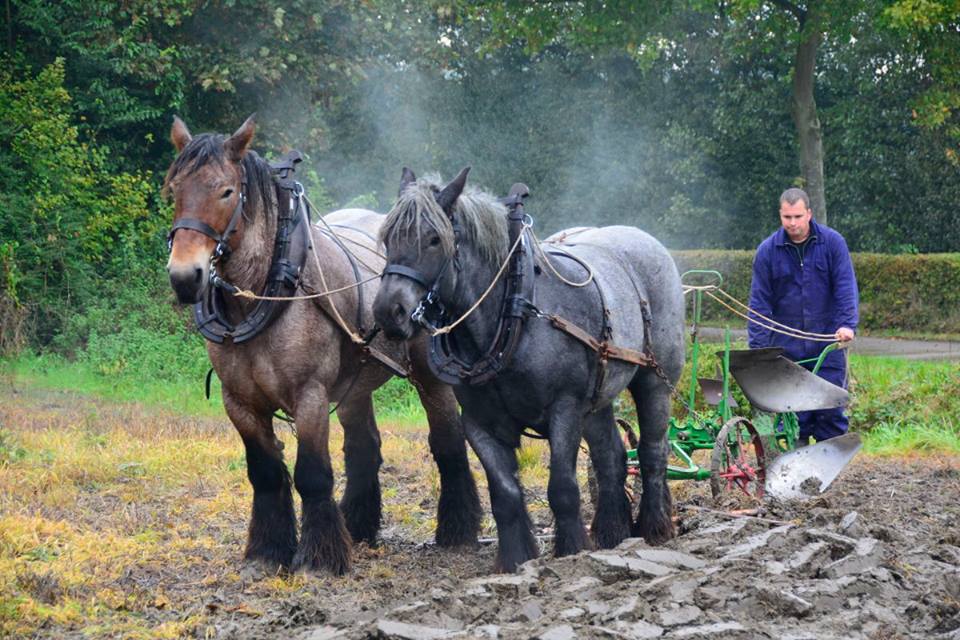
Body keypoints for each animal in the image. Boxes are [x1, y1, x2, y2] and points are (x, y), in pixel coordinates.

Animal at [163, 117, 481, 575]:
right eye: (174, 190)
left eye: (225, 191)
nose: (185, 277)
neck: (265, 294)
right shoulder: (239, 402)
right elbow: (265, 473)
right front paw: (267, 551)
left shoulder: (309, 395)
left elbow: (312, 474)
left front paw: (319, 559)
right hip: (354, 385)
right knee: (363, 448)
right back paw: (358, 526)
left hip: (427, 375)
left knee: (448, 443)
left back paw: (457, 531)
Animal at [372, 168, 685, 572]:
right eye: (387, 237)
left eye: (433, 239)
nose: (388, 311)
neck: (515, 311)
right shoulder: (480, 423)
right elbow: (504, 495)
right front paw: (515, 559)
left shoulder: (565, 408)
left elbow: (562, 488)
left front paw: (571, 551)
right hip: (597, 400)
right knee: (611, 458)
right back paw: (613, 533)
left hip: (654, 381)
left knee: (652, 451)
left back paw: (654, 526)